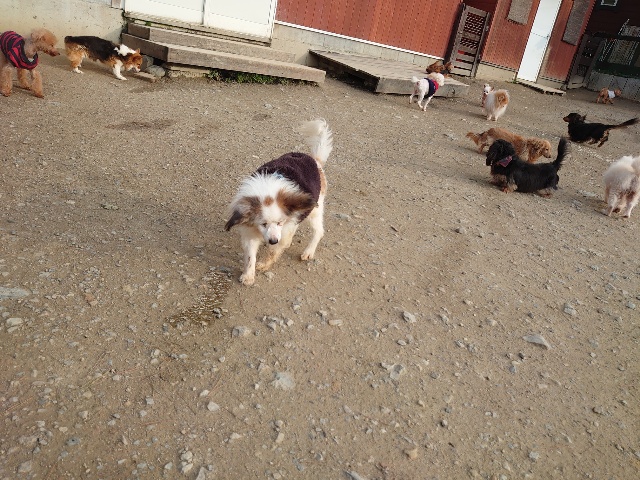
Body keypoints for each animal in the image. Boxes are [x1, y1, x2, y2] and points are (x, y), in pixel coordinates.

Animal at [224, 119, 333, 286]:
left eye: (279, 222)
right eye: (263, 224)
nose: (273, 240)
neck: (267, 193)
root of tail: (316, 160)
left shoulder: (286, 226)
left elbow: (273, 252)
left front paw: (264, 264)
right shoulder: (250, 232)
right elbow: (250, 256)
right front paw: (248, 275)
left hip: (314, 211)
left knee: (318, 231)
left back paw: (308, 252)